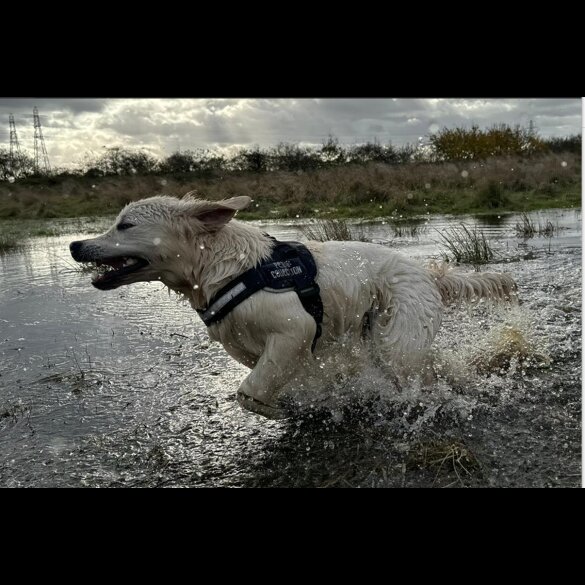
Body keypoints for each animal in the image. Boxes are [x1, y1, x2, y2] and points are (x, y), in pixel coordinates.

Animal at [69, 194, 516, 418]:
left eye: (125, 225)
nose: (75, 245)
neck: (223, 268)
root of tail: (428, 272)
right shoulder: (255, 346)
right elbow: (272, 378)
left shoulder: (294, 329)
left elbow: (249, 393)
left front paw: (279, 411)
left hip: (398, 342)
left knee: (417, 375)